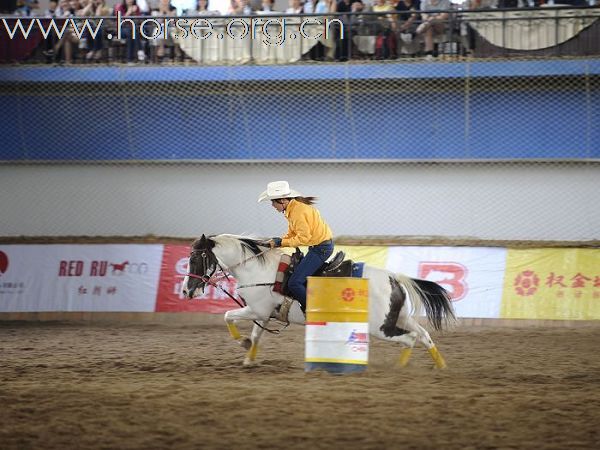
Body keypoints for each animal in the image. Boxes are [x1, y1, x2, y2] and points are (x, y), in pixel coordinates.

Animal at [183, 234, 454, 368]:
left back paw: (399, 368)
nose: (186, 291)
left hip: (380, 327)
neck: (259, 271)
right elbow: (257, 334)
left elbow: (227, 316)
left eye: (196, 258)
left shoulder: (256, 310)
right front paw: (249, 357)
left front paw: (243, 343)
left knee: (410, 338)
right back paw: (441, 366)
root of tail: (393, 277)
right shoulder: (264, 314)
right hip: (399, 317)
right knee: (423, 335)